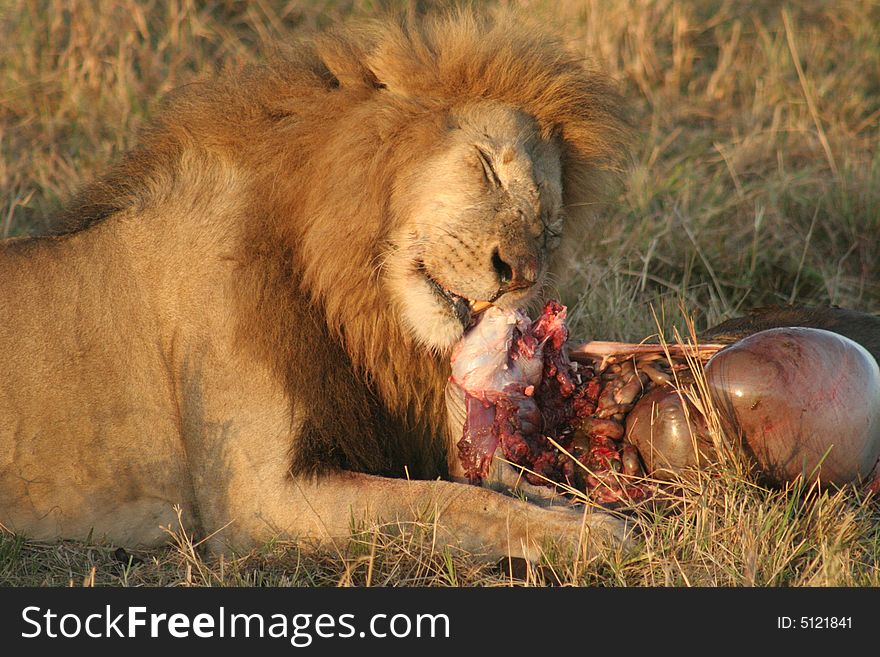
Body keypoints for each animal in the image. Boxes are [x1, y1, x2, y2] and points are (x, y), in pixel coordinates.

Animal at [0, 11, 632, 560]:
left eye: (550, 230)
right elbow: (447, 501)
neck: (351, 296)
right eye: (486, 167)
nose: (521, 272)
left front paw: (597, 512)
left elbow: (501, 484)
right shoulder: (257, 501)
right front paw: (588, 536)